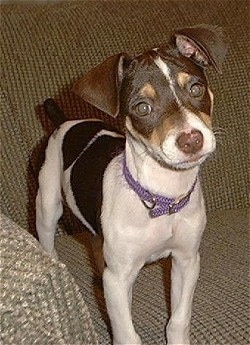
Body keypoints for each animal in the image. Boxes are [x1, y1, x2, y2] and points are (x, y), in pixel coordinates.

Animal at [36, 24, 227, 344]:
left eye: (196, 88)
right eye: (142, 107)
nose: (191, 140)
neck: (161, 199)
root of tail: (65, 122)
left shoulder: (186, 261)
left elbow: (178, 321)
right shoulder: (118, 277)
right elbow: (127, 334)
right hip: (47, 206)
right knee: (49, 240)